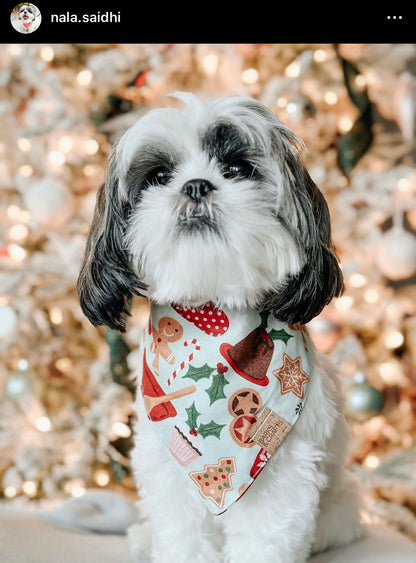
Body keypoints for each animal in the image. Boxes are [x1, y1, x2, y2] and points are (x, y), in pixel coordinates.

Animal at [78, 94, 364, 560]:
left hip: (340, 509)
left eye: (236, 169)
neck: (215, 309)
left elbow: (264, 537)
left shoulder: (282, 476)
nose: (196, 185)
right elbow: (183, 535)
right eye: (159, 176)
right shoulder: (167, 470)